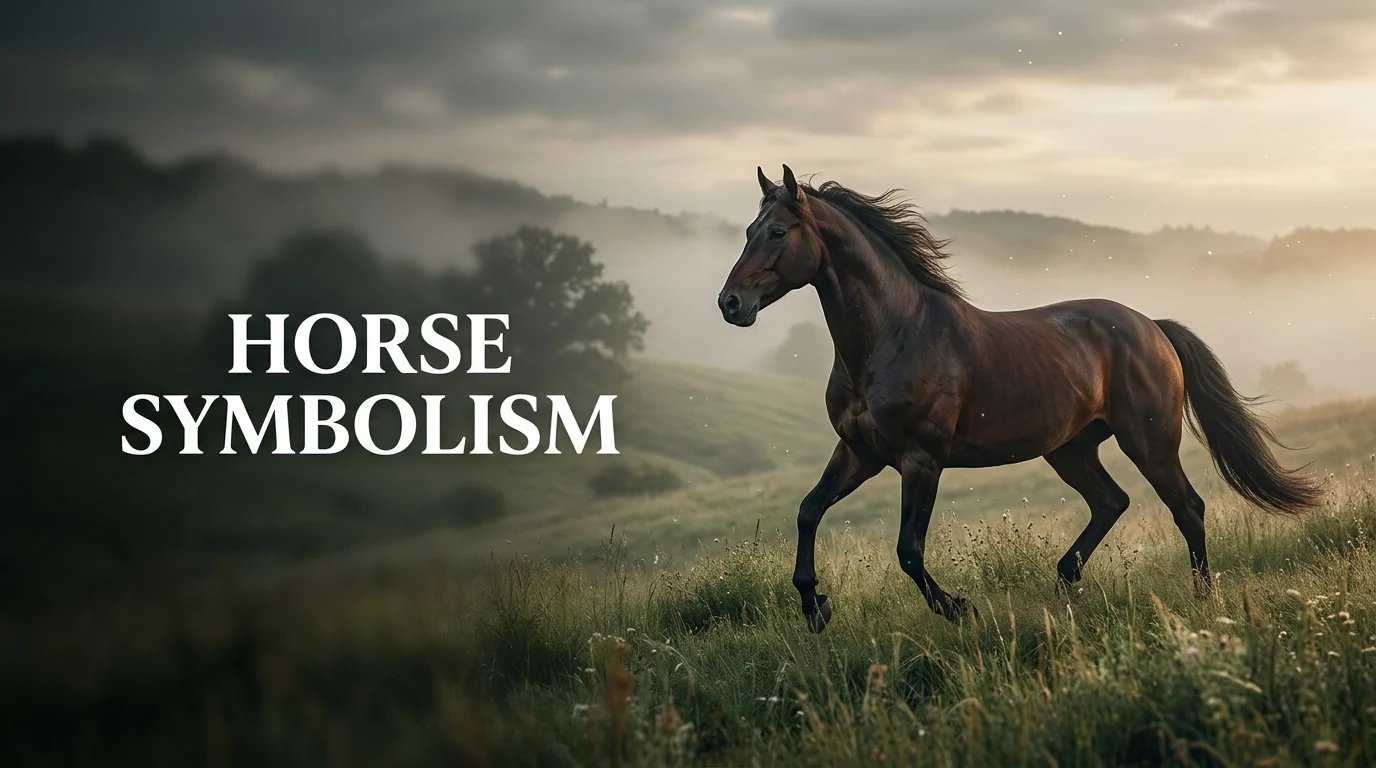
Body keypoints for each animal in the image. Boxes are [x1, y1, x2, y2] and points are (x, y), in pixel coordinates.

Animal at [716, 164, 1322, 632]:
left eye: (777, 232)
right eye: (749, 229)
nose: (730, 303)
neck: (892, 334)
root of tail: (1152, 326)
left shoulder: (921, 458)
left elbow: (908, 550)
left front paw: (958, 609)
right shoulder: (859, 453)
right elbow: (808, 511)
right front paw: (815, 607)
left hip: (1148, 441)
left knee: (1187, 508)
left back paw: (1202, 600)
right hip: (1071, 448)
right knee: (1111, 502)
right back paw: (1065, 583)